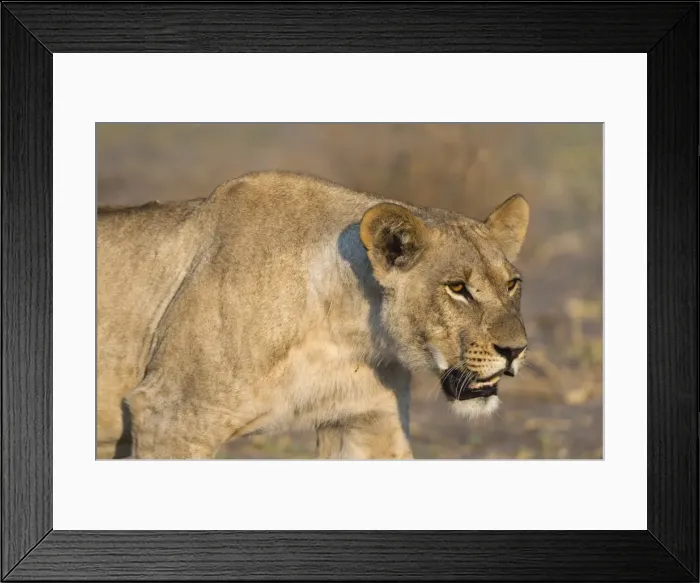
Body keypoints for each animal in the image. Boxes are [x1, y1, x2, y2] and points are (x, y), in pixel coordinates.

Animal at [97, 170, 529, 459]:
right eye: (457, 288)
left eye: (512, 284)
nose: (516, 351)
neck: (343, 330)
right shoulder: (169, 417)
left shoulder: (368, 421)